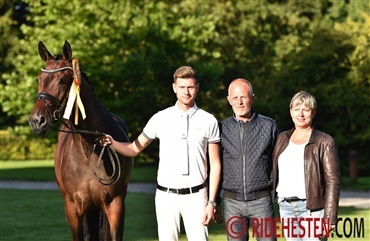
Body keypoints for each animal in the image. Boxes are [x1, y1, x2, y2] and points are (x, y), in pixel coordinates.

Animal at [28, 40, 133, 240]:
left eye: (63, 80)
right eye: (38, 80)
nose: (37, 121)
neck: (90, 149)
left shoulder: (116, 205)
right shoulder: (73, 210)